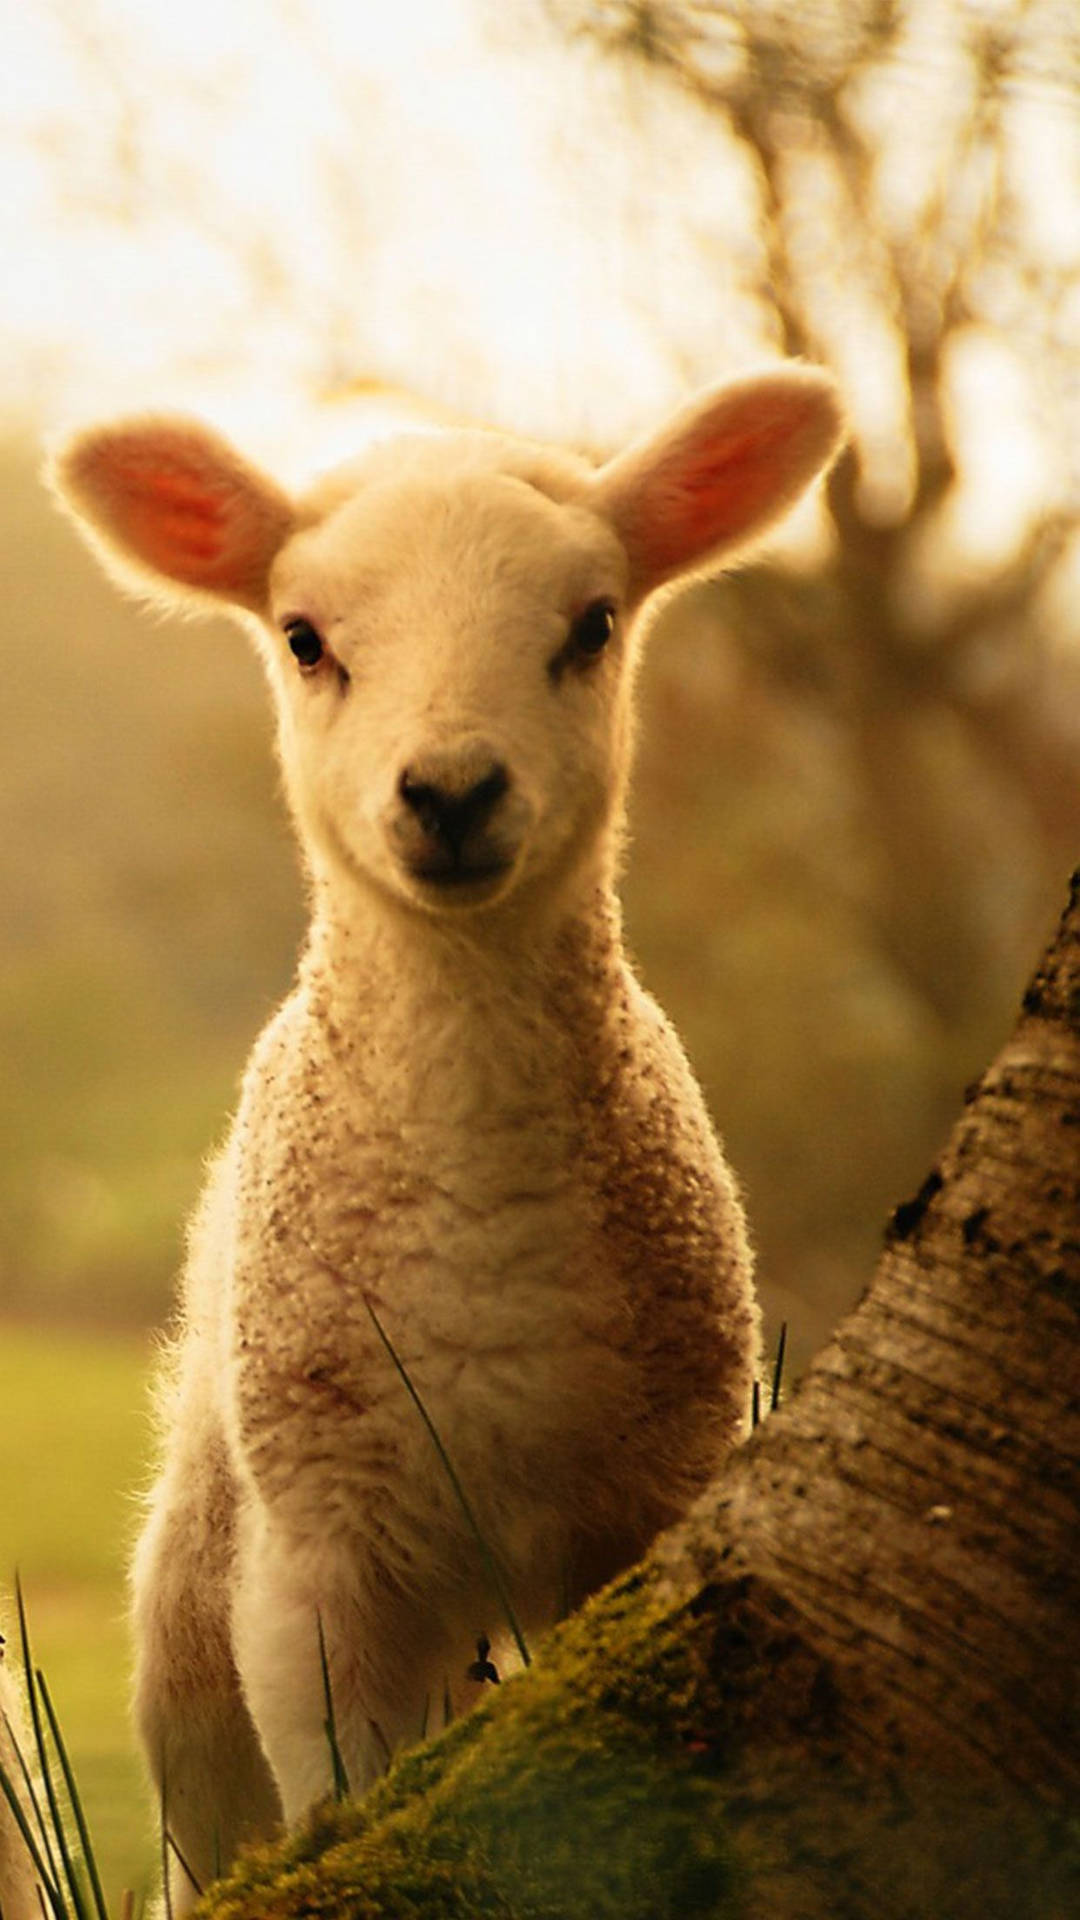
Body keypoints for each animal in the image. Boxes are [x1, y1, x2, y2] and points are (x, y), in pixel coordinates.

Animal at [48, 360, 841, 1904]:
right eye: (305, 639)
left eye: (592, 625)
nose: (454, 792)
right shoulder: (321, 1559)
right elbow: (339, 1794)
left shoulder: (645, 1502)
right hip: (195, 1602)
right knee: (206, 1827)